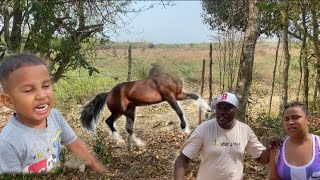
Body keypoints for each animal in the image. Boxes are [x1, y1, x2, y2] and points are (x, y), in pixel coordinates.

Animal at [79, 66, 211, 150]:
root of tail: (108, 93)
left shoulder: (178, 95)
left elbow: (195, 96)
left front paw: (208, 109)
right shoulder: (170, 97)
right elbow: (179, 111)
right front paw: (185, 129)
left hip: (130, 111)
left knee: (128, 128)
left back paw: (140, 143)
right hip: (119, 111)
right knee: (109, 121)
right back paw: (119, 139)